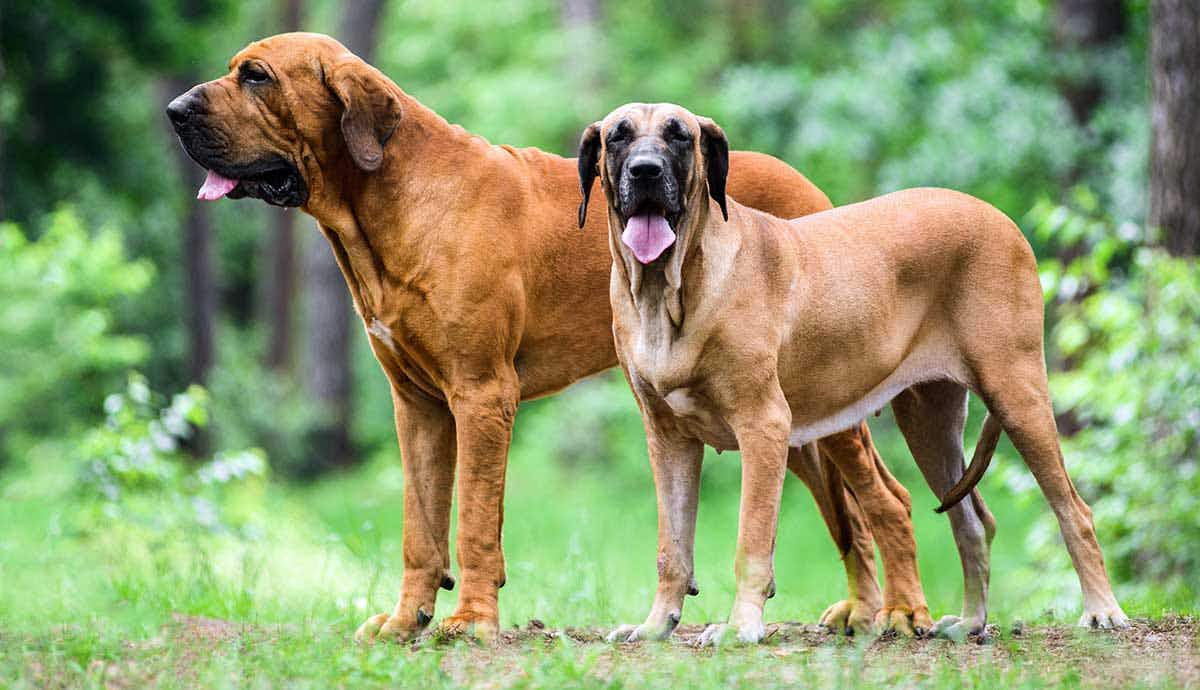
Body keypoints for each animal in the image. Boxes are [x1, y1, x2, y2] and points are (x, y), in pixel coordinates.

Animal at [169, 32, 931, 643]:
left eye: (256, 77)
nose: (173, 110)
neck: (393, 199)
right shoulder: (417, 407)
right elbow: (420, 527)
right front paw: (406, 619)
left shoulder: (481, 395)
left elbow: (474, 521)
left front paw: (471, 622)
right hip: (794, 422)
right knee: (848, 510)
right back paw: (863, 611)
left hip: (820, 406)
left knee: (885, 499)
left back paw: (900, 614)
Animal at [576, 101, 1128, 643]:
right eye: (618, 136)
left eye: (679, 136)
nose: (646, 171)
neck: (667, 291)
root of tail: (1000, 217)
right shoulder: (668, 438)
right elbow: (672, 547)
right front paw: (655, 624)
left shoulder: (763, 426)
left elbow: (751, 541)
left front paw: (740, 628)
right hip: (929, 423)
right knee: (972, 520)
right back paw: (971, 620)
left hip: (1017, 393)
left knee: (1074, 510)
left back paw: (1102, 610)